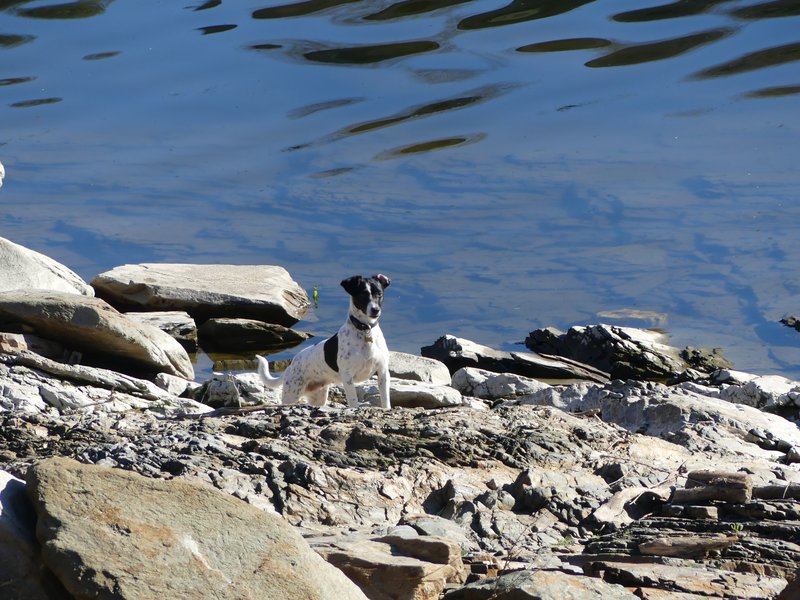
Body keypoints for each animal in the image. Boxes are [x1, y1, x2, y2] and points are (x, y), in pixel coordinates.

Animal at [258, 276, 392, 408]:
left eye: (379, 294)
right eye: (362, 295)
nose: (375, 310)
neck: (365, 330)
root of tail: (290, 366)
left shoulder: (383, 372)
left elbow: (385, 399)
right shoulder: (347, 377)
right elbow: (353, 401)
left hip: (318, 397)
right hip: (291, 394)